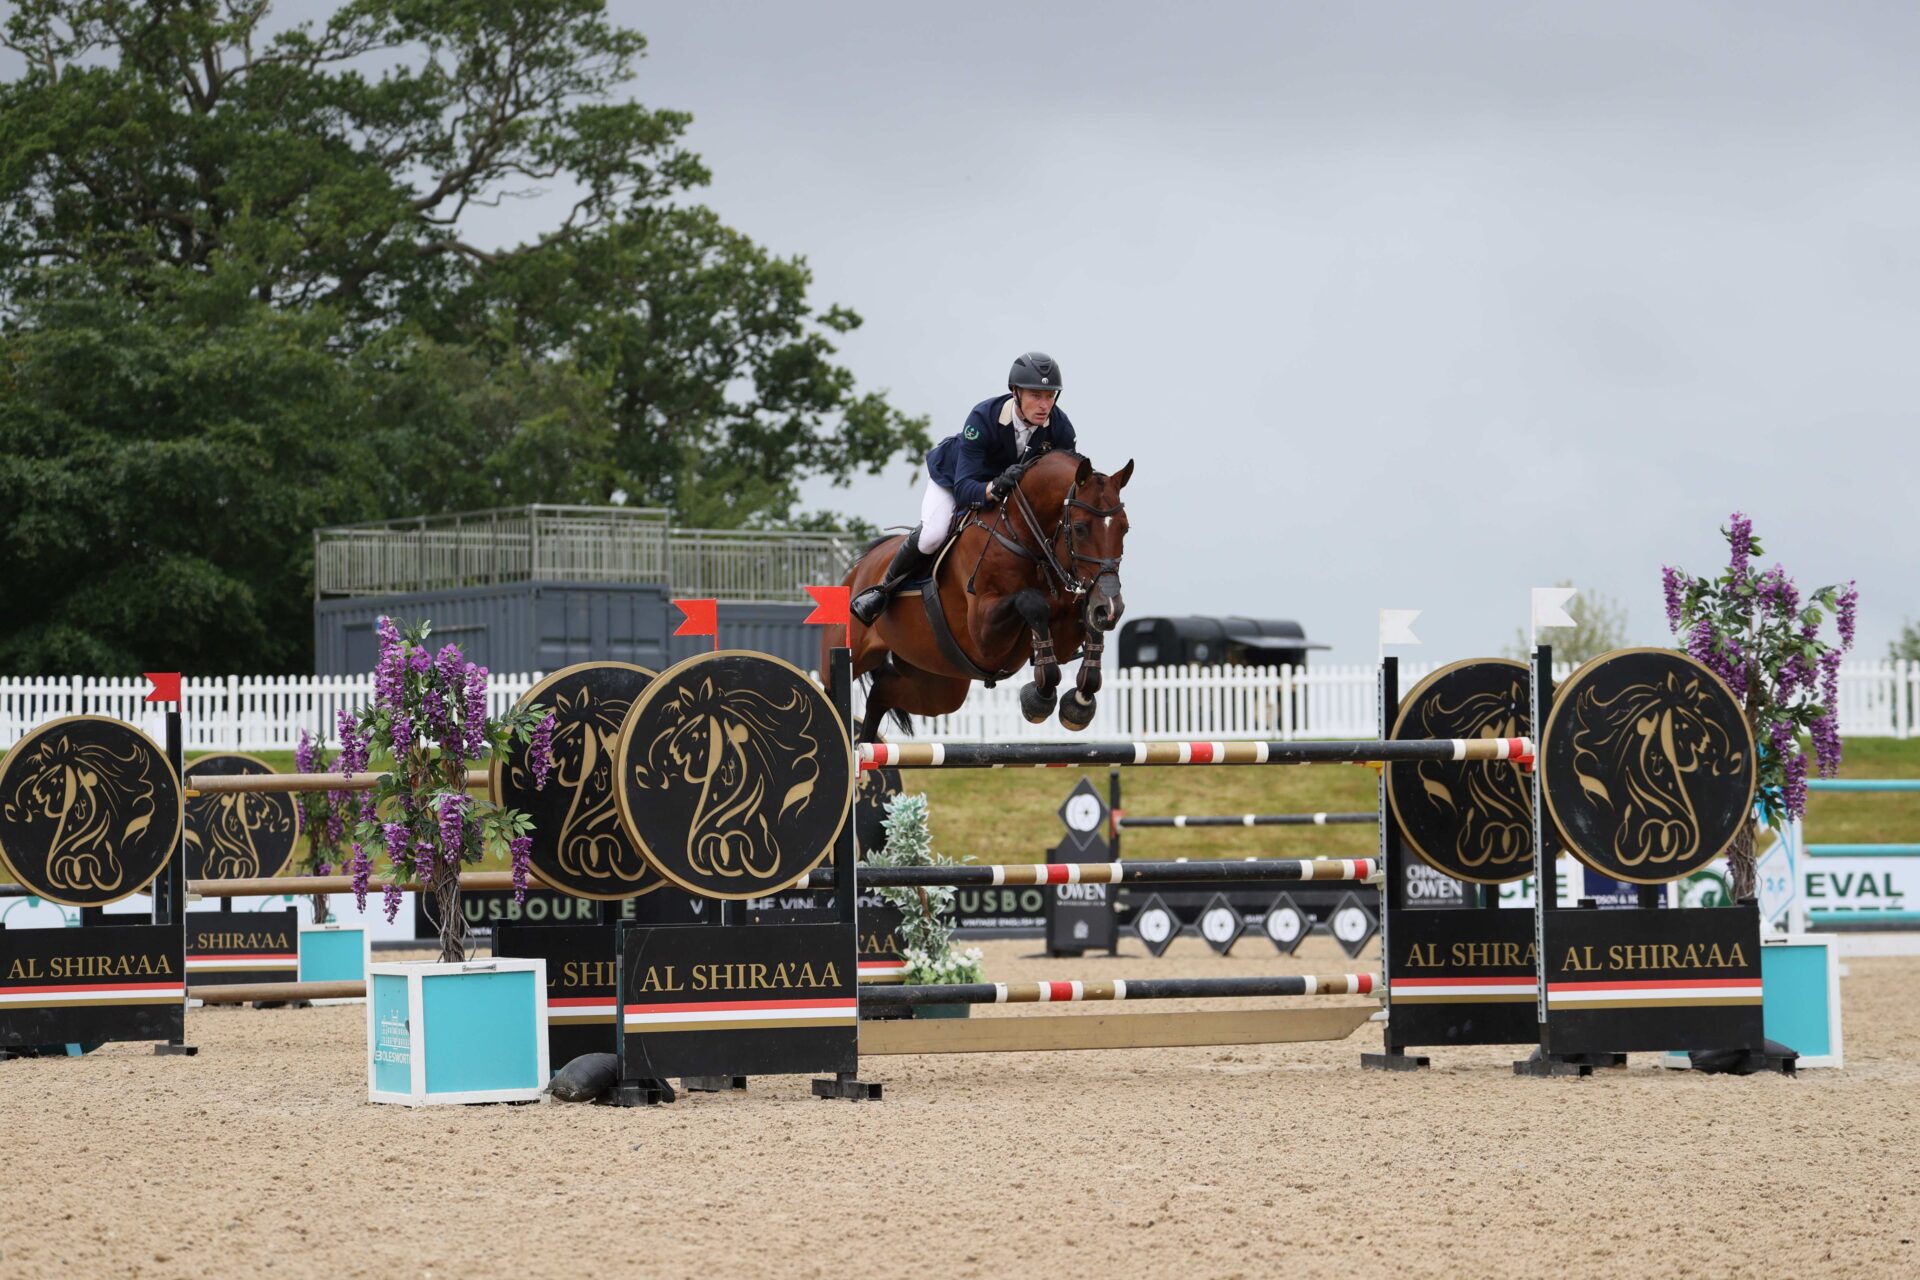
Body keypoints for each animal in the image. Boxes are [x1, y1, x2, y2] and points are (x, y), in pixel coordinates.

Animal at [833, 454, 1128, 744]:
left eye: (1125, 528)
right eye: (1079, 528)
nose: (1111, 606)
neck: (1024, 539)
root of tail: (861, 566)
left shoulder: (1065, 632)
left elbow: (1085, 623)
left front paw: (1079, 702)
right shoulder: (984, 637)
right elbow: (1031, 601)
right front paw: (1040, 696)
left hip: (937, 683)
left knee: (882, 691)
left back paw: (864, 745)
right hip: (854, 651)